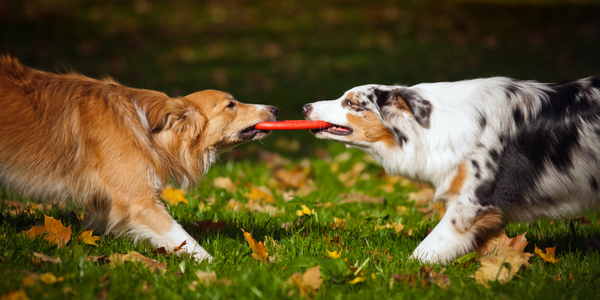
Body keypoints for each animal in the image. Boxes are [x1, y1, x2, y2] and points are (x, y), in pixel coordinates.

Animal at [0, 55, 276, 262]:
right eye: (231, 105)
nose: (273, 108)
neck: (149, 130)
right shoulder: (137, 201)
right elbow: (183, 237)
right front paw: (216, 266)